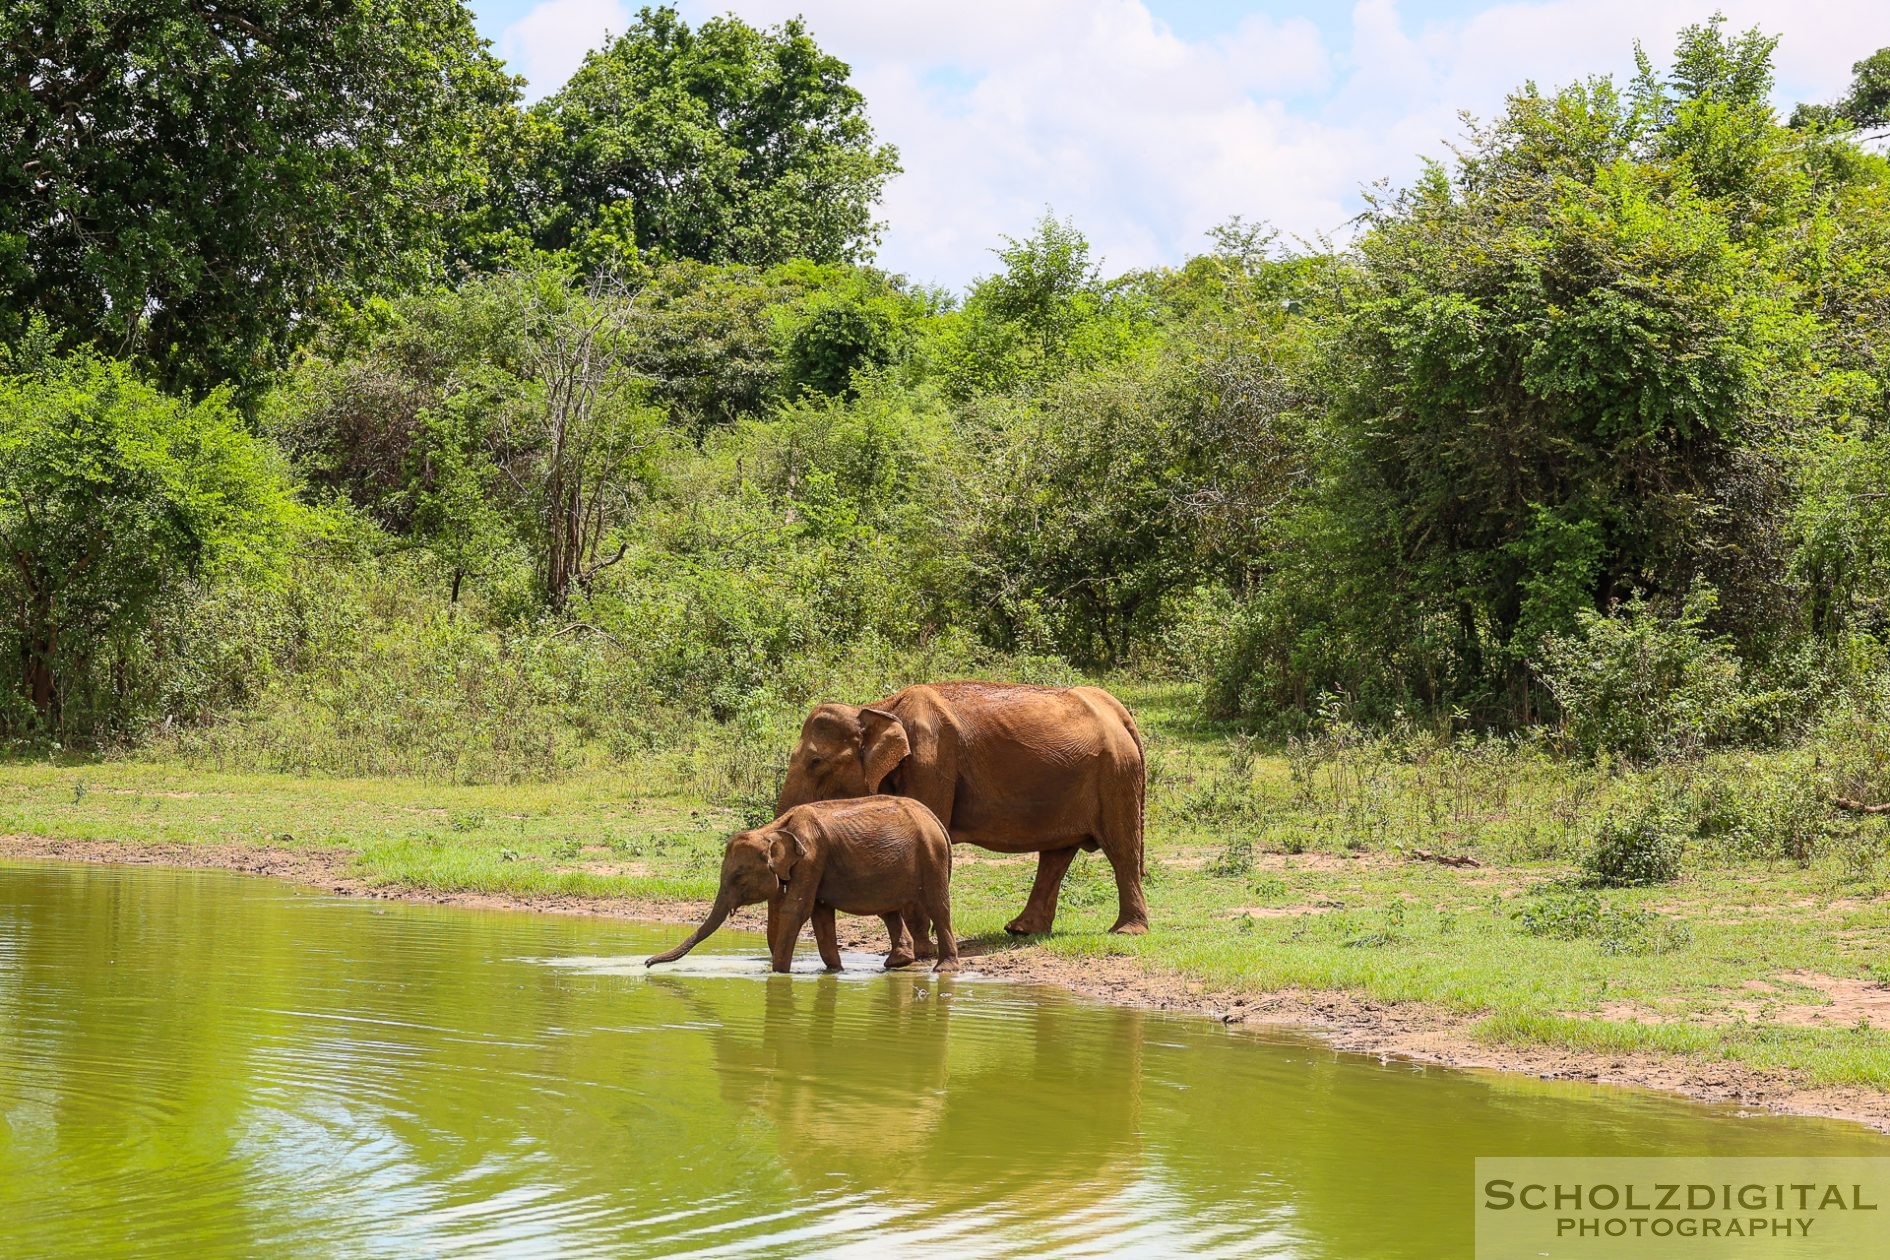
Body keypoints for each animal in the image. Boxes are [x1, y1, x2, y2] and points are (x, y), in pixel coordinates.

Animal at [646, 797, 960, 974]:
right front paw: (834, 971)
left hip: (931, 856)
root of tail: (934, 819)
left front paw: (778, 975)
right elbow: (820, 913)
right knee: (889, 910)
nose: (647, 964)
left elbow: (797, 910)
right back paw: (897, 964)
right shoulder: (815, 863)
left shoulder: (812, 855)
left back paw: (943, 969)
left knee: (937, 906)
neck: (773, 829)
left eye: (738, 877)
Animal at [771, 680, 1149, 936]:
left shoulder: (932, 757)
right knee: (1056, 855)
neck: (878, 707)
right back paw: (1021, 930)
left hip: (1116, 773)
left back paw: (1125, 931)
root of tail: (1119, 711)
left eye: (816, 762)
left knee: (1120, 847)